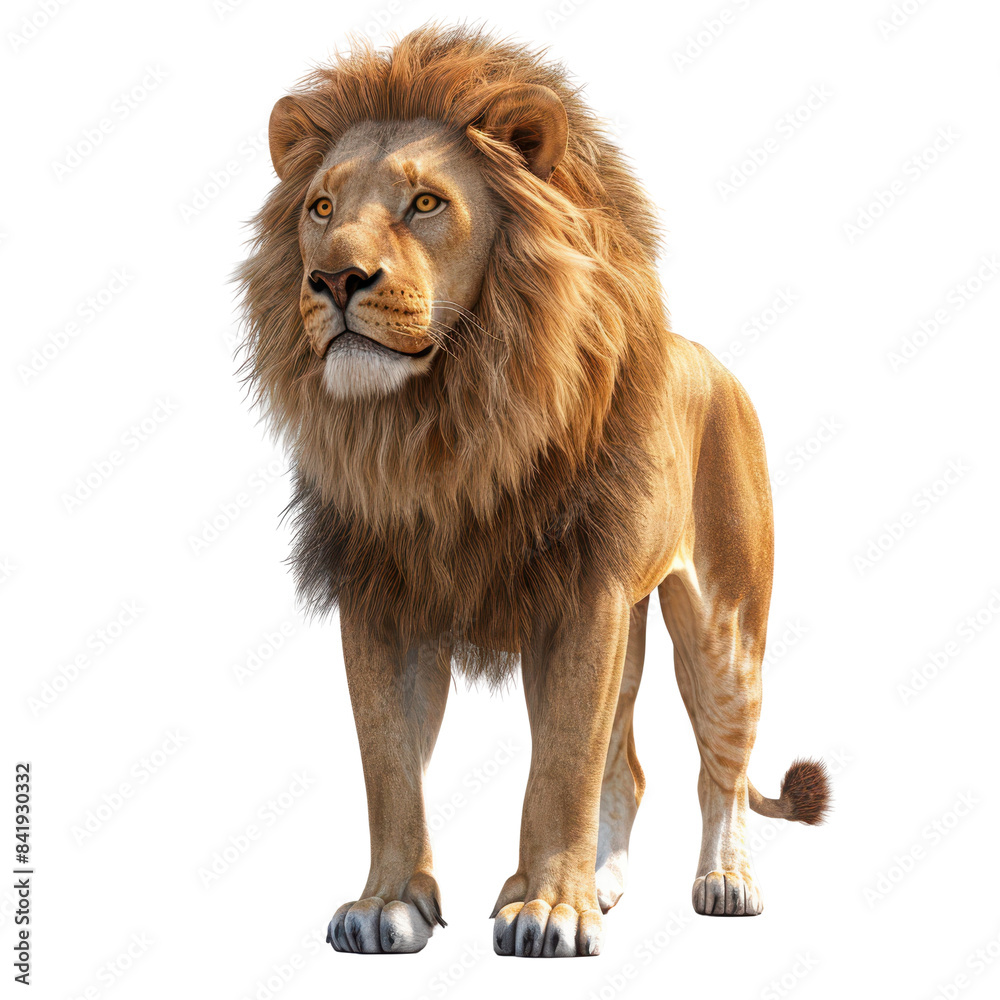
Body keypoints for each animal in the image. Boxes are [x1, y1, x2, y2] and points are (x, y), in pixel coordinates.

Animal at [237, 25, 830, 958]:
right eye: (320, 209)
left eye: (426, 203)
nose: (332, 280)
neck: (439, 428)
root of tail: (708, 358)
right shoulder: (382, 601)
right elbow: (389, 767)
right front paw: (386, 903)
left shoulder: (582, 599)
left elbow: (560, 769)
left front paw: (549, 910)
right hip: (631, 624)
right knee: (628, 766)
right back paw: (608, 883)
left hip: (724, 627)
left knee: (722, 767)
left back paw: (723, 880)